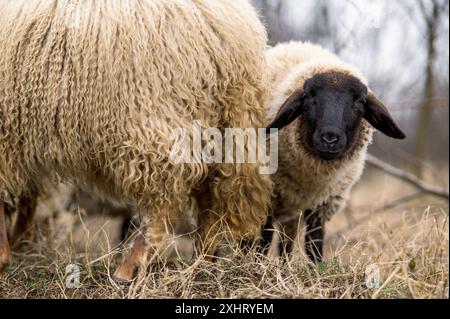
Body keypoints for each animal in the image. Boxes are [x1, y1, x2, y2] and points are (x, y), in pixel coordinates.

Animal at [0, 0, 270, 280]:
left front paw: (4, 256)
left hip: (152, 122)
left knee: (165, 199)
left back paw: (129, 266)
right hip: (217, 130)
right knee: (208, 195)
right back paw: (200, 262)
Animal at [262, 42, 406, 262]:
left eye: (359, 100)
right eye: (309, 96)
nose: (329, 138)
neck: (311, 181)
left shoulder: (322, 204)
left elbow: (313, 244)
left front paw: (316, 269)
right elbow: (262, 241)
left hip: (291, 210)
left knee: (287, 241)